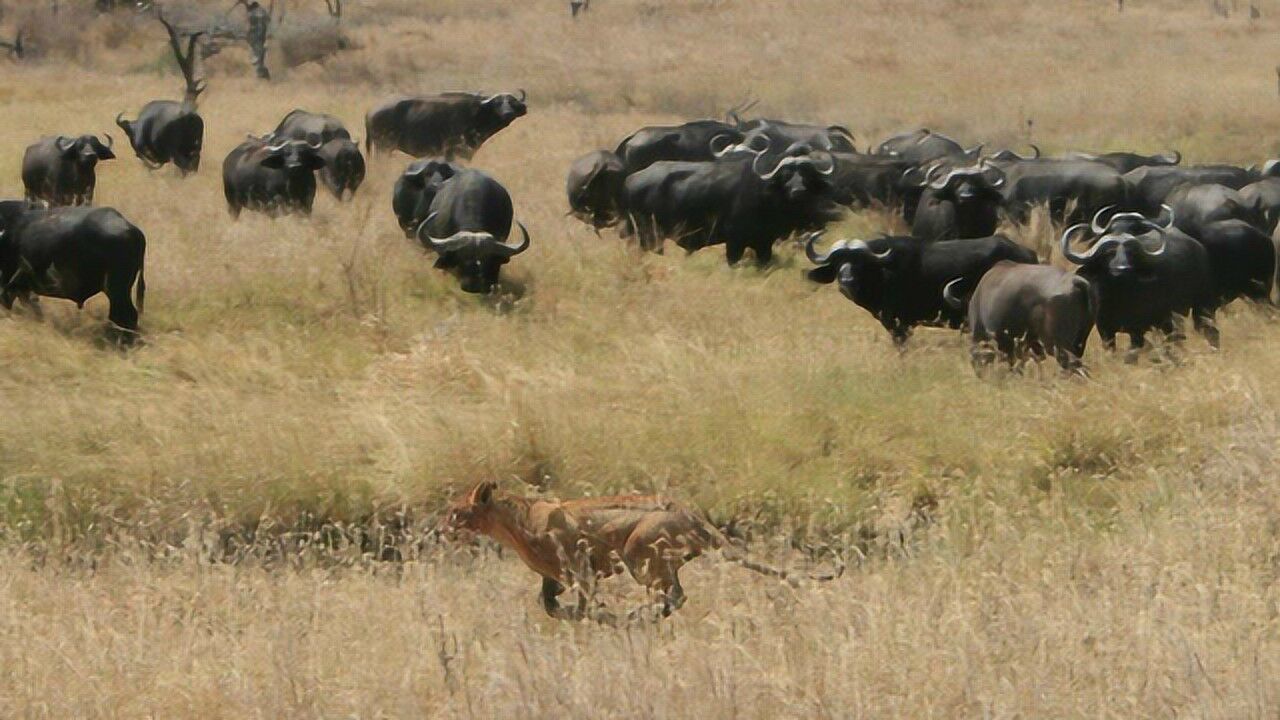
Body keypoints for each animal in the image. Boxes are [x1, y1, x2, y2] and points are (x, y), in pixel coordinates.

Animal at [363, 90, 527, 159]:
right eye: (498, 103)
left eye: (512, 102)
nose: (508, 113)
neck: (477, 112)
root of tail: (370, 111)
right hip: (383, 148)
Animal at [808, 228, 1039, 343]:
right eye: (838, 262)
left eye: (859, 261)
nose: (846, 281)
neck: (884, 271)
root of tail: (1027, 253)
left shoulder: (899, 325)